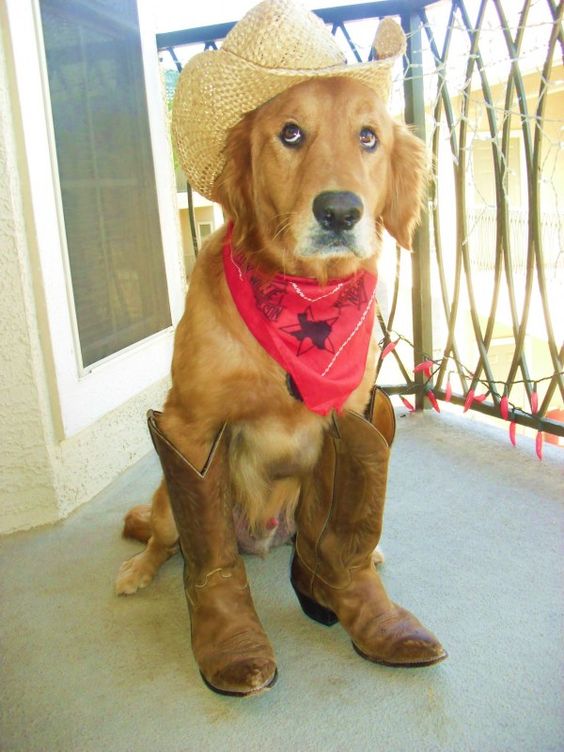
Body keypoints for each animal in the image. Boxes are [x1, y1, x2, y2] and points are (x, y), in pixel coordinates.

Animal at [117, 75, 426, 592]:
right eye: (291, 133)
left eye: (368, 137)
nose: (339, 212)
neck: (304, 293)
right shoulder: (191, 424)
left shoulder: (350, 413)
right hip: (167, 502)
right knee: (164, 538)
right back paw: (139, 568)